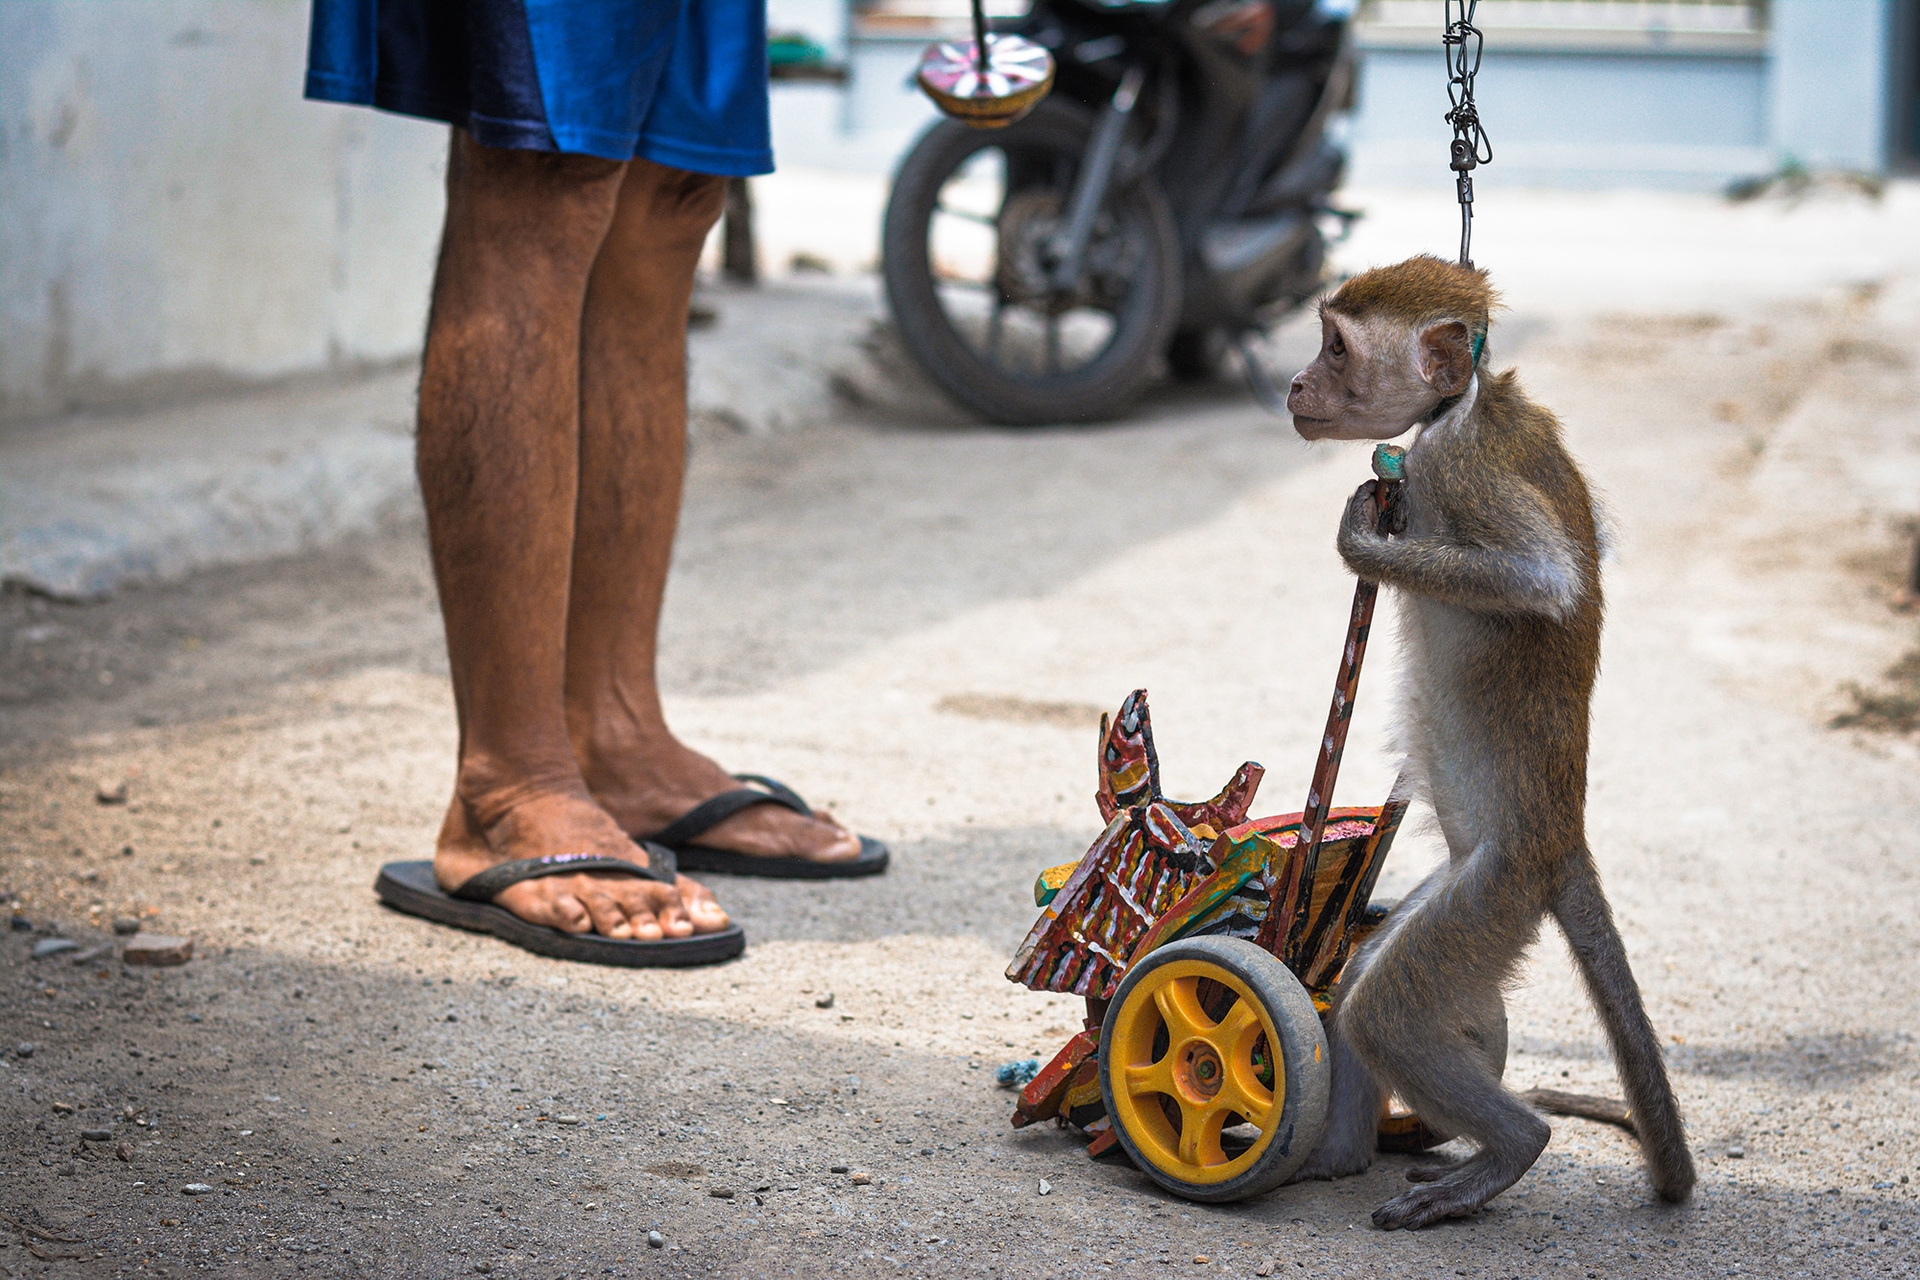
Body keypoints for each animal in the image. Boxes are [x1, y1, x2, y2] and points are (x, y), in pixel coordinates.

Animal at [1282, 255, 1689, 1228]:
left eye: (1336, 347)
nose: (1296, 382)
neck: (1456, 407)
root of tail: (1562, 838)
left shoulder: (1453, 468)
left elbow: (1539, 580)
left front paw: (1365, 540)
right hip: (1473, 887)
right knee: (1361, 985)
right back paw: (1337, 1159)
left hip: (1497, 890)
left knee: (1386, 1011)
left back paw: (1510, 1150)